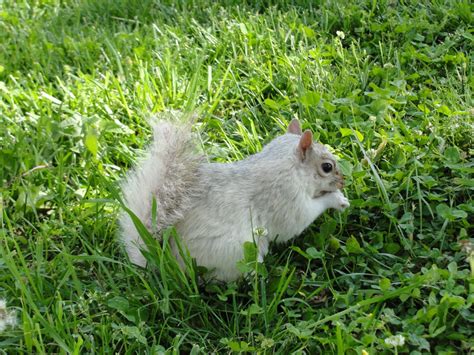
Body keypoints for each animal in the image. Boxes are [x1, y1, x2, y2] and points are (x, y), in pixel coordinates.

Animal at [119, 115, 348, 282]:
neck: (286, 164)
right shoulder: (286, 198)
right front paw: (337, 199)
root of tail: (167, 262)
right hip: (237, 253)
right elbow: (300, 220)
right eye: (327, 167)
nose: (342, 182)